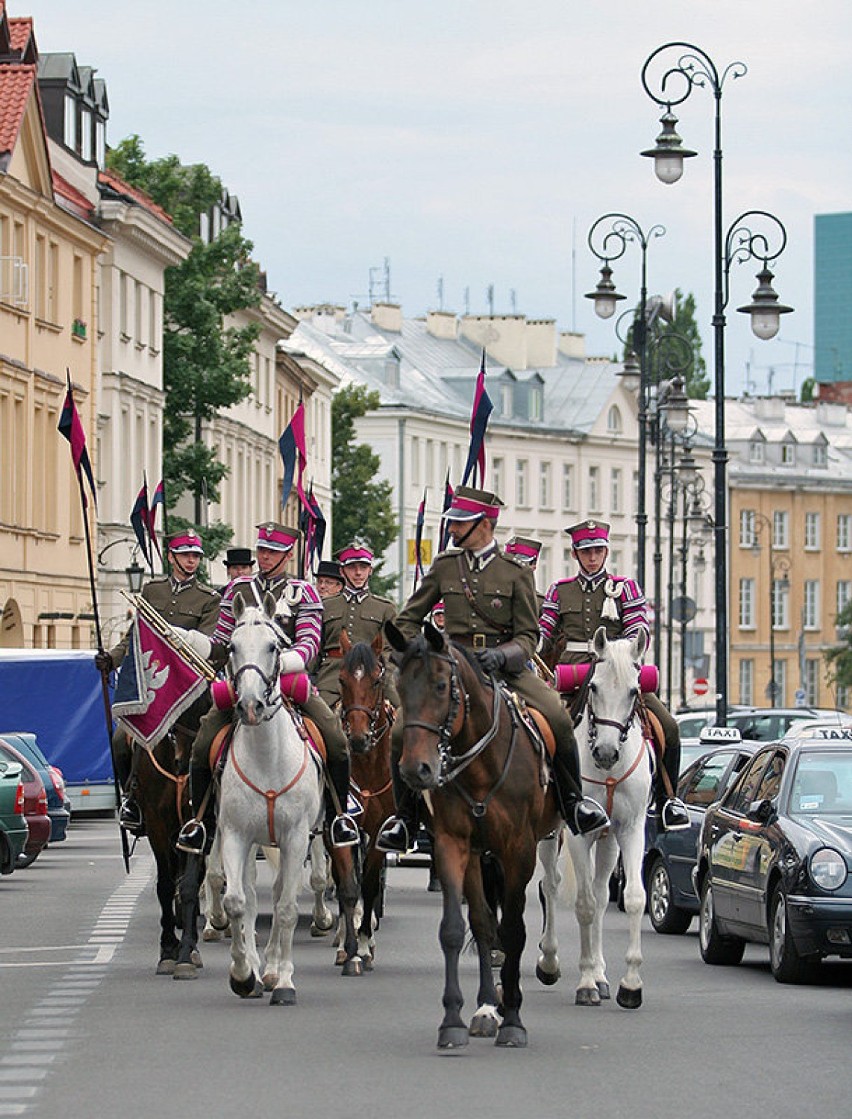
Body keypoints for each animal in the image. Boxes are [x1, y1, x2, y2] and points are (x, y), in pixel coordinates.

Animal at [217, 595, 326, 1007]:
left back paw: (275, 969)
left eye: (274, 647)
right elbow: (237, 901)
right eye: (231, 647)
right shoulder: (235, 834)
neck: (267, 757)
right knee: (248, 893)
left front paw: (283, 981)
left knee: (282, 893)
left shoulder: (296, 837)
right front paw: (243, 975)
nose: (250, 706)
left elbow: (288, 908)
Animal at [382, 622, 557, 1047]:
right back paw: (488, 1003)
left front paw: (513, 1018)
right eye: (400, 685)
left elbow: (513, 931)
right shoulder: (452, 844)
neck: (480, 764)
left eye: (440, 686)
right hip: (479, 854)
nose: (416, 769)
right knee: (482, 920)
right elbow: (457, 928)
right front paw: (458, 1018)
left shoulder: (519, 850)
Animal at [537, 631, 649, 1007]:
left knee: (601, 895)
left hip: (608, 838)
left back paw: (601, 975)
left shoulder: (631, 829)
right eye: (595, 687)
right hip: (548, 834)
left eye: (634, 690)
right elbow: (584, 904)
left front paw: (630, 984)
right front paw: (585, 981)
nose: (605, 753)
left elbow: (632, 898)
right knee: (550, 885)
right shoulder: (577, 833)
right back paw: (549, 961)